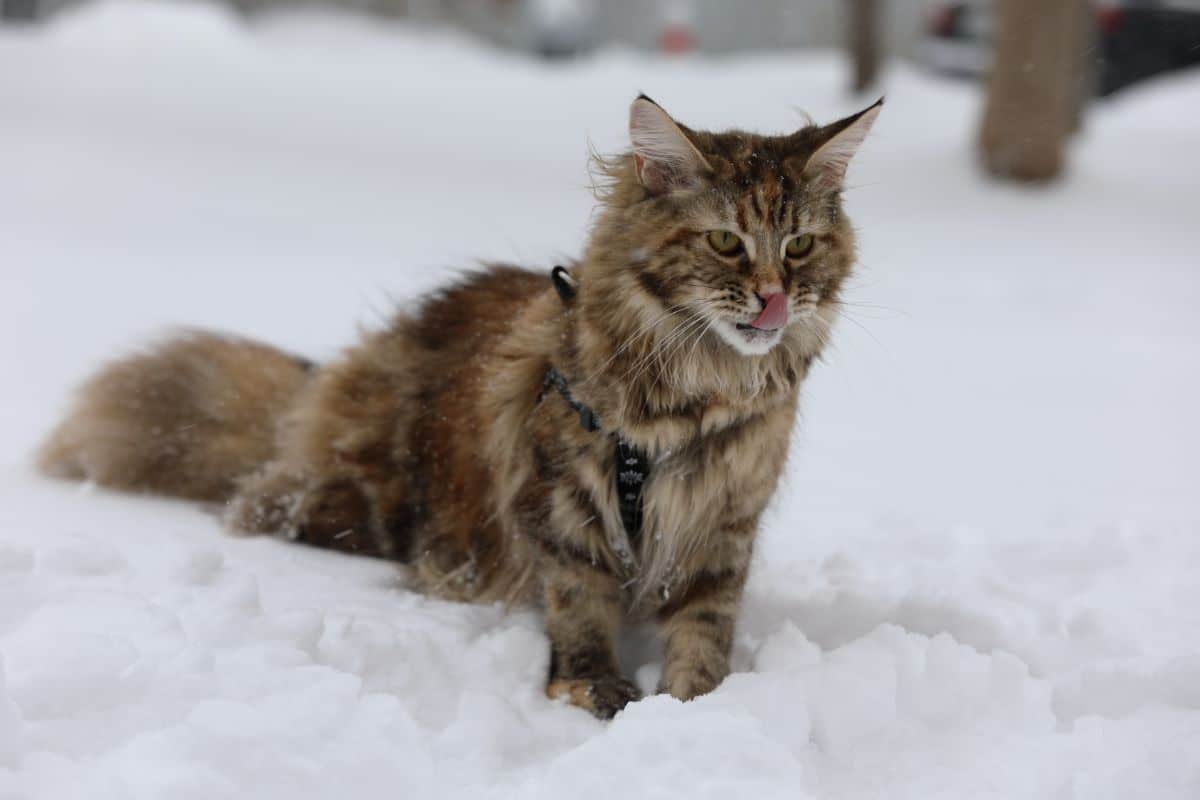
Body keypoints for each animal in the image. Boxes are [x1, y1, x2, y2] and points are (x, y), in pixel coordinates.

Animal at [39, 94, 883, 719]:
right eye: (725, 243)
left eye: (800, 246)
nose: (775, 300)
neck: (694, 395)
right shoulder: (565, 503)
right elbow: (579, 603)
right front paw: (593, 690)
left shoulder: (720, 523)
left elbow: (704, 629)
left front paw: (694, 706)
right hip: (370, 506)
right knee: (269, 506)